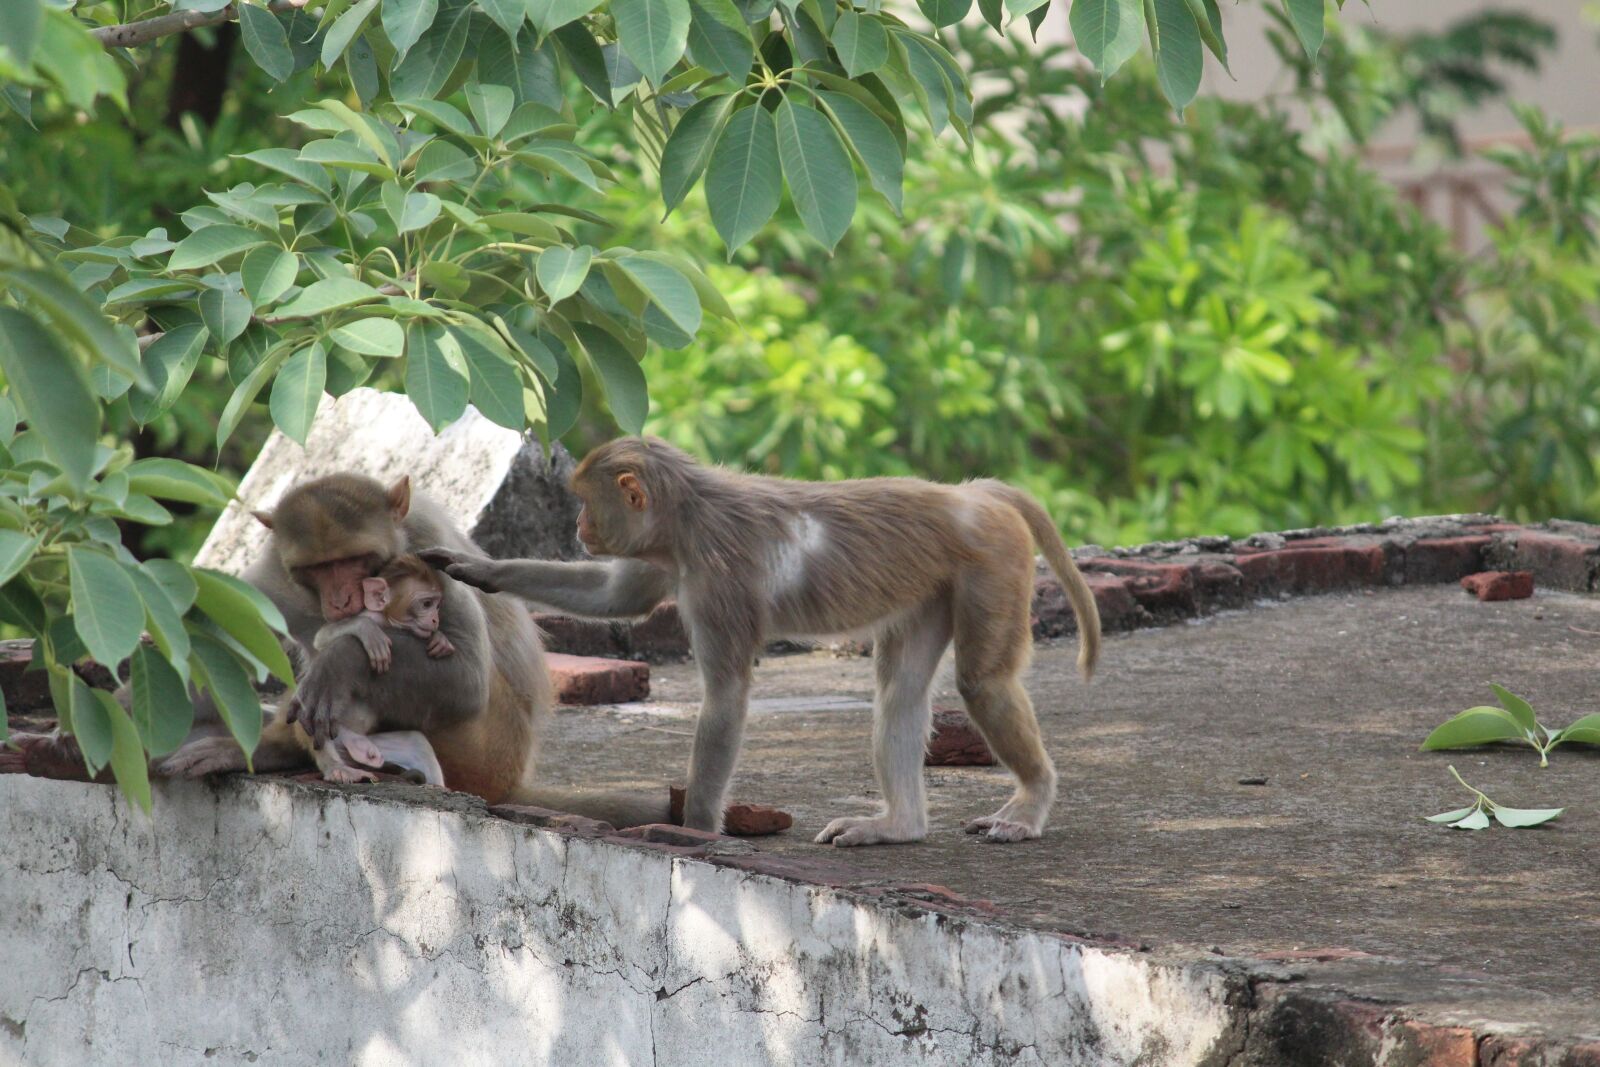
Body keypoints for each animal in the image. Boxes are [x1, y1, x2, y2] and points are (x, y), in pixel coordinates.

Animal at [421, 437, 1102, 847]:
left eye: (588, 502)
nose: (581, 527)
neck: (688, 513)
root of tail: (971, 495)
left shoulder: (715, 577)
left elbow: (725, 697)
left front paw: (694, 831)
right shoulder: (670, 554)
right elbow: (618, 598)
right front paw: (481, 570)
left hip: (991, 561)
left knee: (982, 683)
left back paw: (1031, 803)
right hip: (933, 586)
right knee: (901, 696)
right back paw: (899, 826)